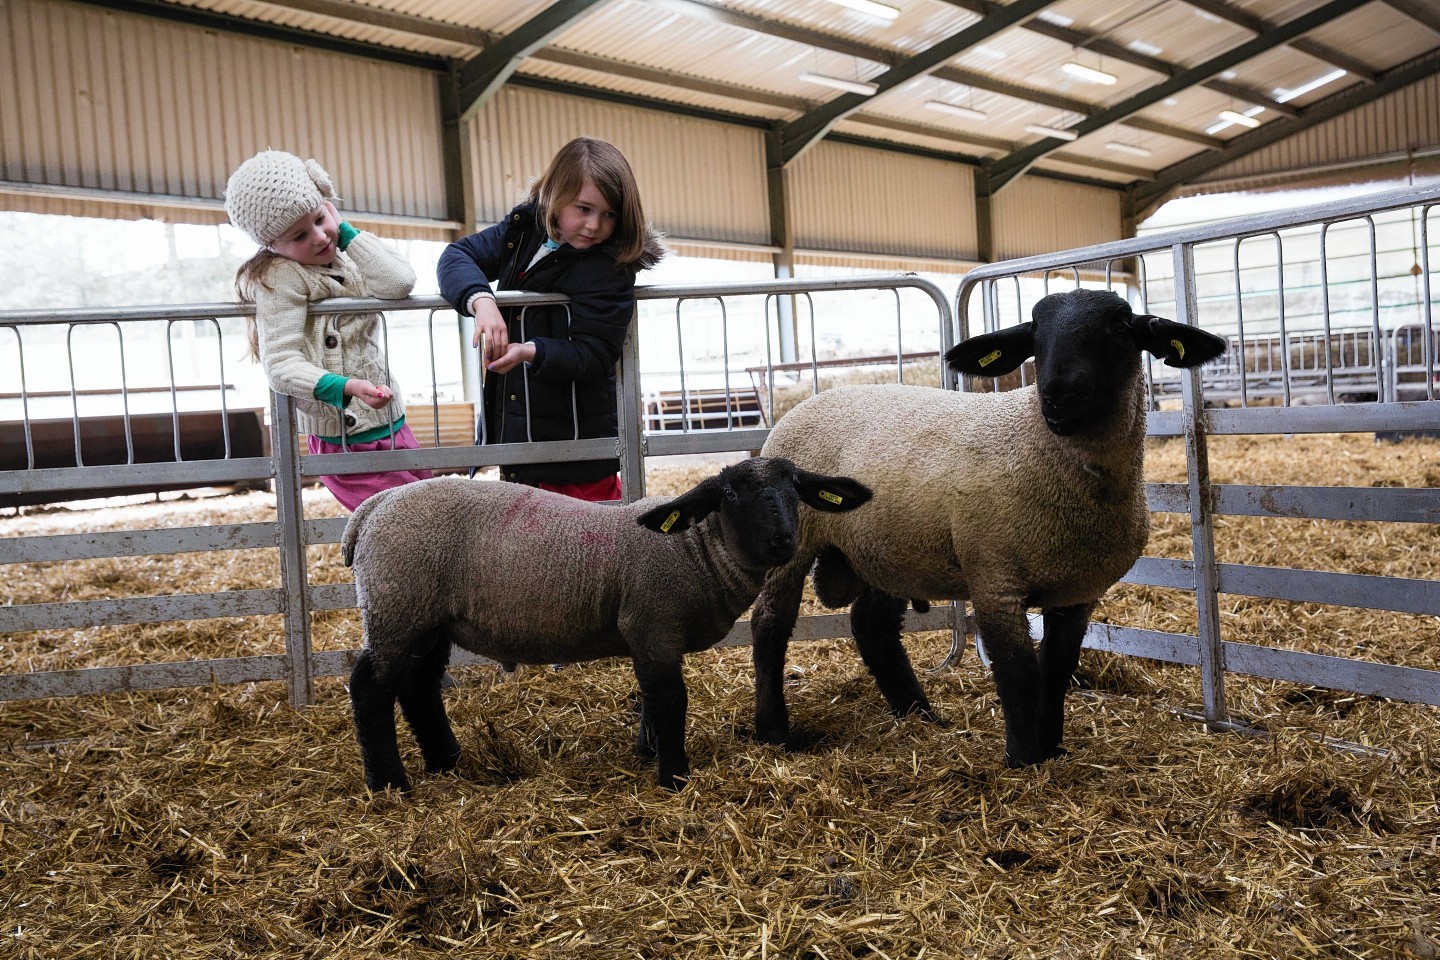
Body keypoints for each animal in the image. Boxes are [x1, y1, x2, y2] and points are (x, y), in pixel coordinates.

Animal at [342, 454, 869, 794]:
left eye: (795, 489)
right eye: (730, 494)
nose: (783, 542)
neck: (696, 550)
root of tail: (375, 508)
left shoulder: (648, 632)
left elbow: (651, 700)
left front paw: (649, 751)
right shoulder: (654, 624)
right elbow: (670, 699)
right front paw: (674, 776)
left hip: (427, 620)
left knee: (418, 686)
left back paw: (445, 762)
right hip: (396, 606)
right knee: (371, 686)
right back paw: (388, 783)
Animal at [743, 289, 1226, 771]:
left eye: (1121, 328)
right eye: (1035, 332)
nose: (1058, 396)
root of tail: (809, 402)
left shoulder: (1078, 591)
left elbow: (1056, 670)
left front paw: (1053, 748)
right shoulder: (994, 578)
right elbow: (1018, 672)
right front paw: (1024, 759)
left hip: (888, 549)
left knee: (871, 624)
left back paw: (920, 714)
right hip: (794, 543)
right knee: (770, 622)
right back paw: (775, 731)